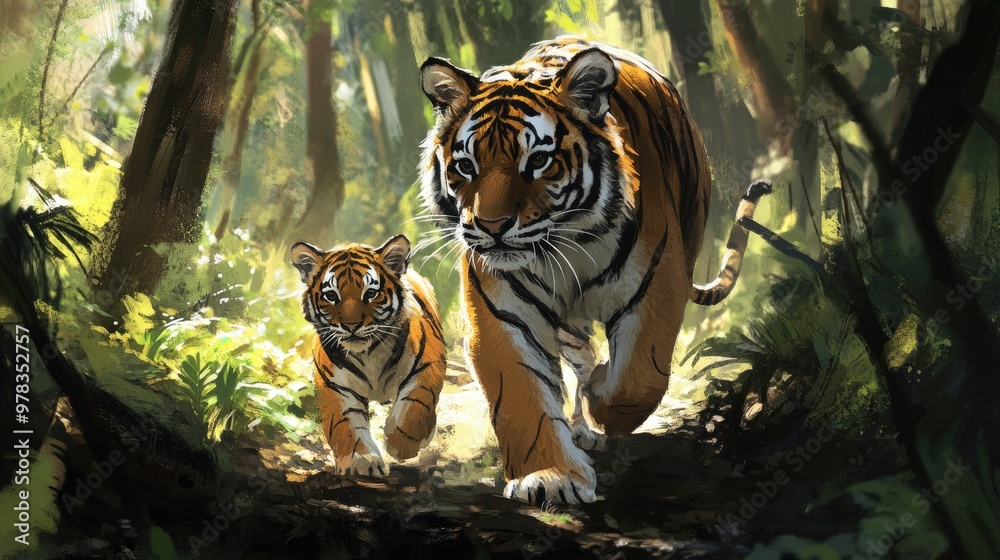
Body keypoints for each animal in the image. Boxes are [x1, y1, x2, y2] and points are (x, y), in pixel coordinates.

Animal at [290, 235, 446, 477]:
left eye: (370, 293)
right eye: (331, 296)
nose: (351, 325)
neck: (368, 353)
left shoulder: (427, 365)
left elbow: (414, 406)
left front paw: (400, 445)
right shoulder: (335, 386)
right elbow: (347, 425)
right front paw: (361, 462)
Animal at [417, 36, 770, 504]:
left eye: (538, 161)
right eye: (465, 166)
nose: (491, 227)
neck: (562, 247)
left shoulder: (656, 284)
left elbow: (639, 379)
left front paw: (604, 396)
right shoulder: (501, 312)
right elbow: (521, 395)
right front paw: (550, 476)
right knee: (577, 355)